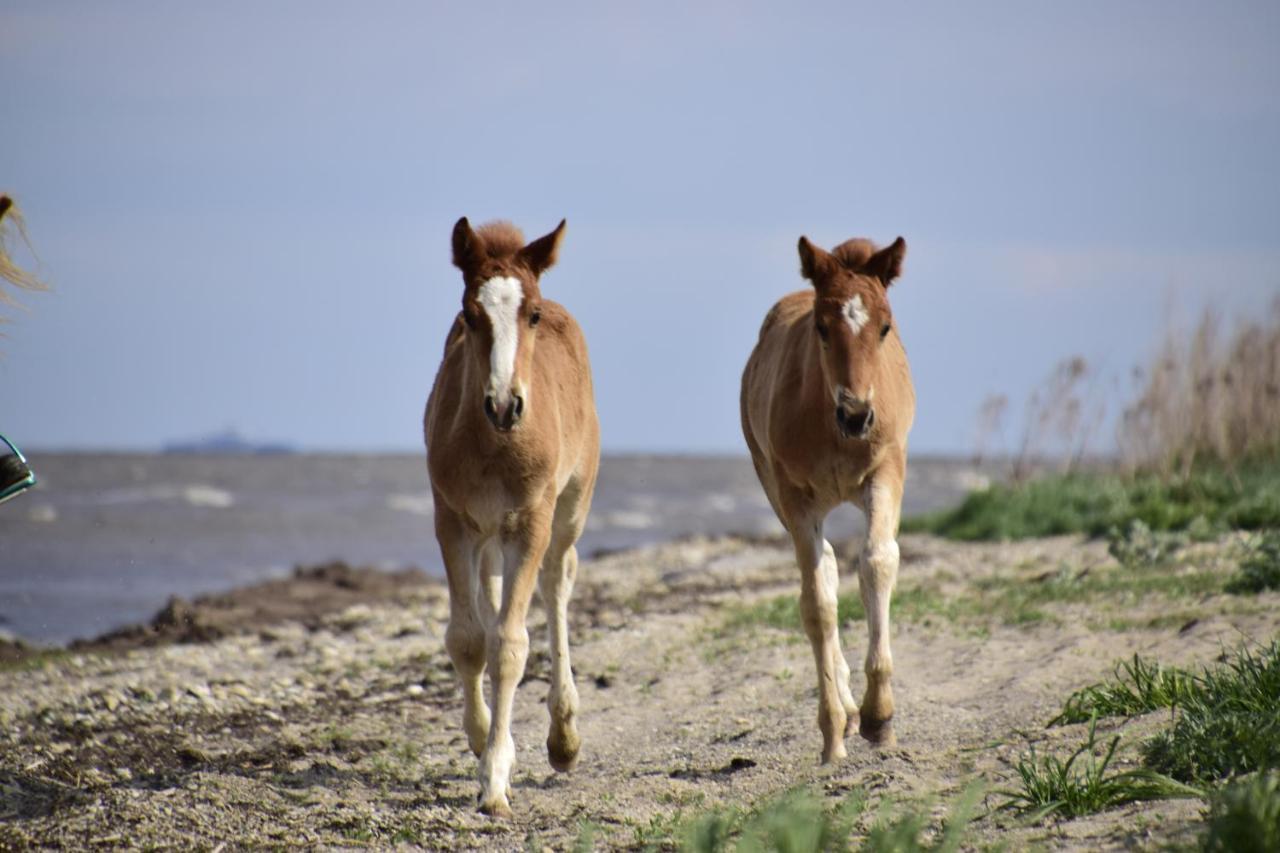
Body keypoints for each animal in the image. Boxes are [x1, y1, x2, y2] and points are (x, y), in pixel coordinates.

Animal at [419, 216, 599, 814]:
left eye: (533, 314)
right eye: (469, 315)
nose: (504, 405)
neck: (494, 445)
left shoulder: (530, 521)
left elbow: (509, 645)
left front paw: (496, 776)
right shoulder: (452, 520)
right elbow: (469, 639)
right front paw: (481, 743)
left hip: (570, 507)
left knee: (557, 583)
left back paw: (563, 737)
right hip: (487, 533)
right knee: (493, 598)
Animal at [747, 230, 916, 758]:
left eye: (885, 327)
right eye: (822, 327)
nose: (856, 415)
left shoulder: (886, 473)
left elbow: (877, 562)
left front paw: (881, 717)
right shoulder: (795, 496)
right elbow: (818, 603)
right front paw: (835, 728)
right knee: (821, 571)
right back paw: (843, 712)